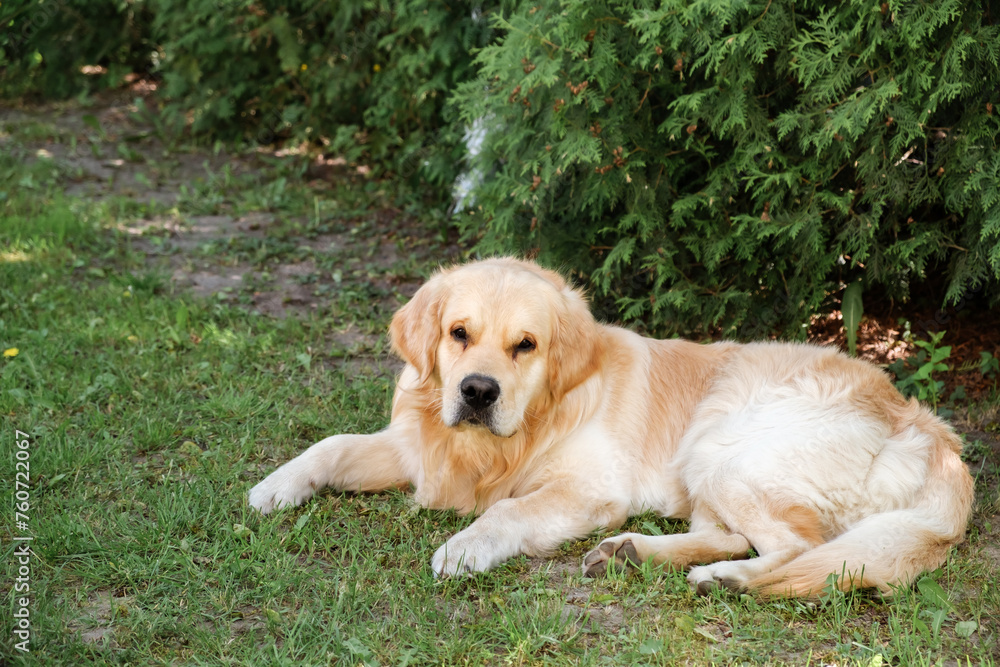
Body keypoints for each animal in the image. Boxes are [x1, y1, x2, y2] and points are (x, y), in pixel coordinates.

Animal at [246, 258, 972, 596]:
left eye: (526, 345)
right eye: (458, 334)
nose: (476, 391)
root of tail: (930, 430)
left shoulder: (590, 488)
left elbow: (508, 511)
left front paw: (467, 545)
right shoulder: (416, 446)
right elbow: (332, 444)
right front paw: (275, 486)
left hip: (726, 445)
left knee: (802, 549)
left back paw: (725, 581)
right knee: (733, 536)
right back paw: (633, 552)